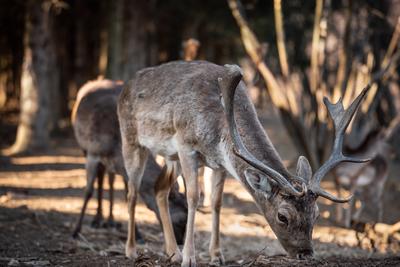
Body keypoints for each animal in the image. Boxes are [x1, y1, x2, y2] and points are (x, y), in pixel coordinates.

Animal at [70, 78, 188, 245]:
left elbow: (129, 194)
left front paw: (137, 235)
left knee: (109, 179)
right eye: (182, 220)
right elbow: (88, 191)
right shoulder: (92, 153)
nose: (180, 242)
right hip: (85, 148)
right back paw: (97, 219)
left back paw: (110, 220)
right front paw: (76, 230)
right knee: (100, 178)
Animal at [117, 61, 370, 267]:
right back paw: (132, 250)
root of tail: (126, 85)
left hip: (170, 157)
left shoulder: (218, 163)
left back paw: (171, 252)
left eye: (316, 214)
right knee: (132, 191)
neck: (220, 128)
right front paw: (190, 258)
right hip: (131, 139)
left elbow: (216, 202)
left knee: (160, 189)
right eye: (282, 216)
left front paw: (217, 256)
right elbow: (193, 197)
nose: (305, 253)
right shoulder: (186, 146)